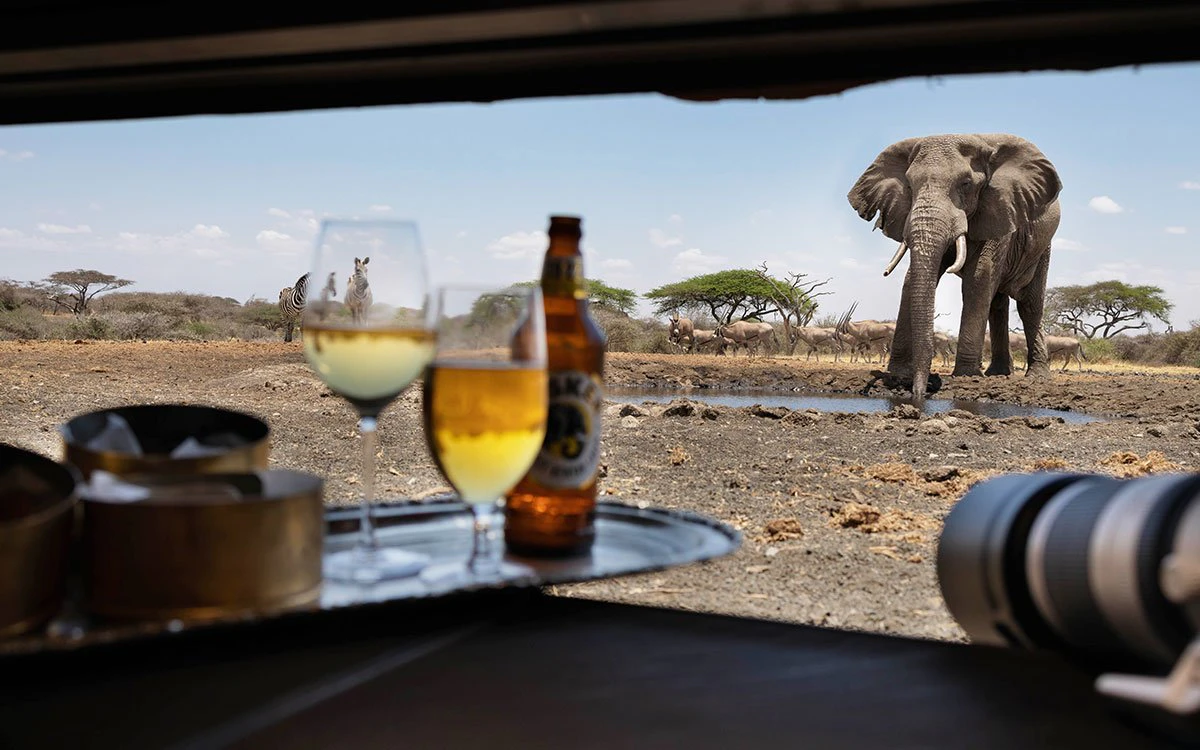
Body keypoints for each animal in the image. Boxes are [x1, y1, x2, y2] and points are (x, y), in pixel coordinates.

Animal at [848, 133, 1063, 403]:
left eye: (966, 184)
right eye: (910, 185)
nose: (919, 393)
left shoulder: (1000, 209)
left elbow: (979, 277)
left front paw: (966, 377)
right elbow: (911, 278)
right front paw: (897, 374)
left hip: (1043, 247)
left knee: (1030, 305)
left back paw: (1036, 378)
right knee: (997, 304)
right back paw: (998, 374)